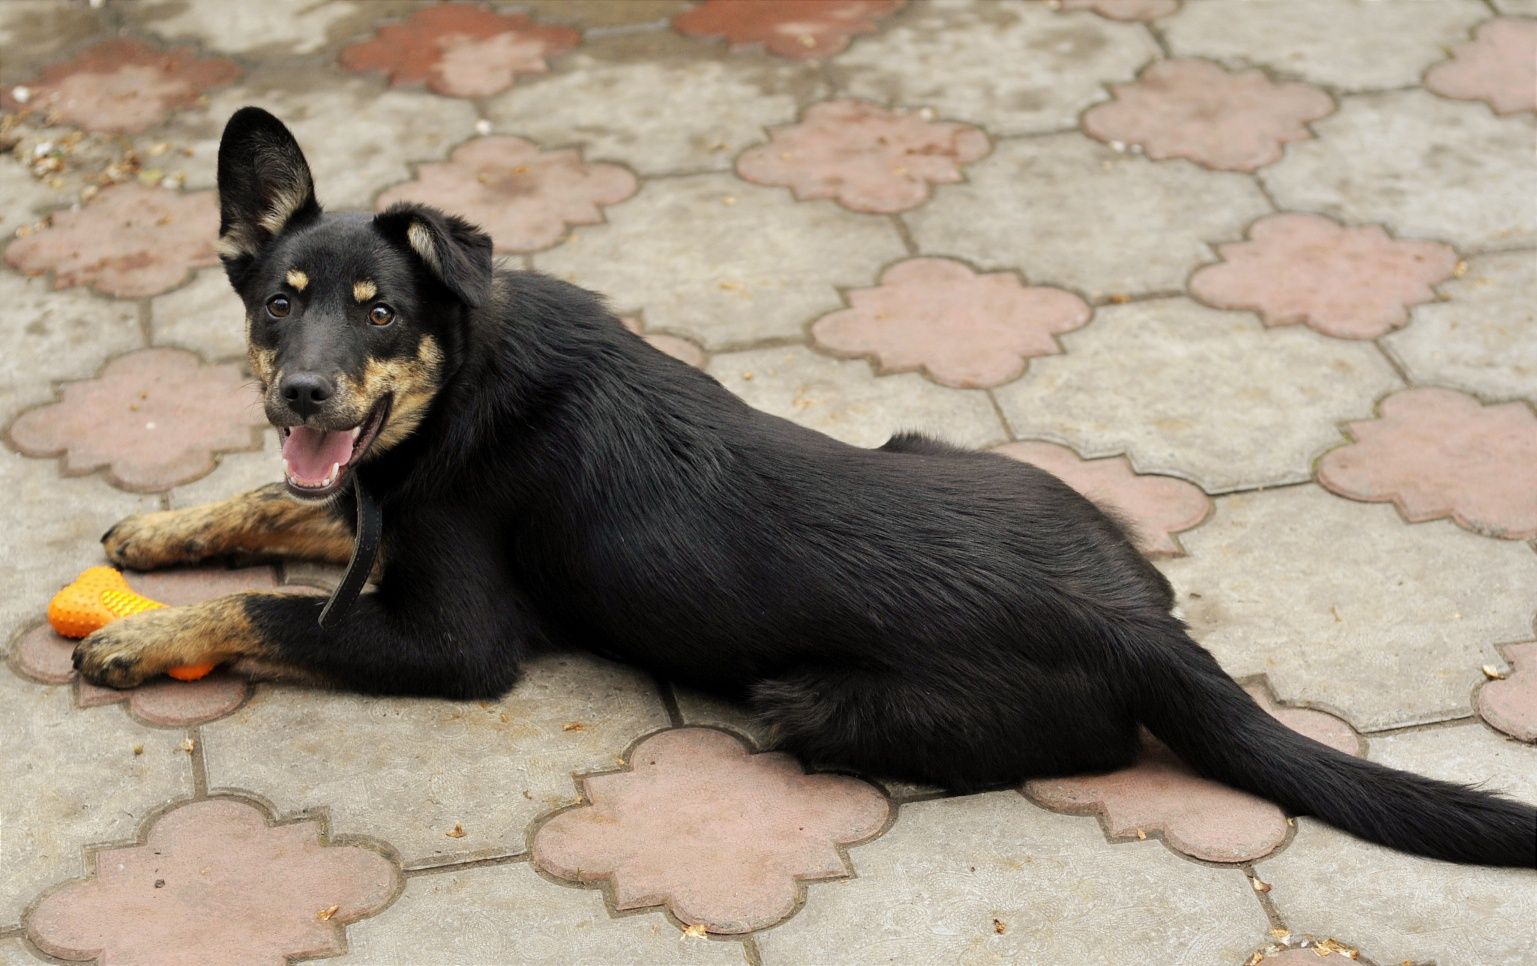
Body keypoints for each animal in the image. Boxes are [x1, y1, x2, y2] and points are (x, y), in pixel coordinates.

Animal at [74, 105, 1537, 867]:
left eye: (379, 313)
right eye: (280, 303)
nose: (300, 396)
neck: (464, 372)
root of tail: (1145, 632)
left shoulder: (457, 639)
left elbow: (275, 606)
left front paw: (143, 637)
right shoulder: (374, 502)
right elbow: (280, 506)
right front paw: (157, 528)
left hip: (811, 701)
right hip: (927, 444)